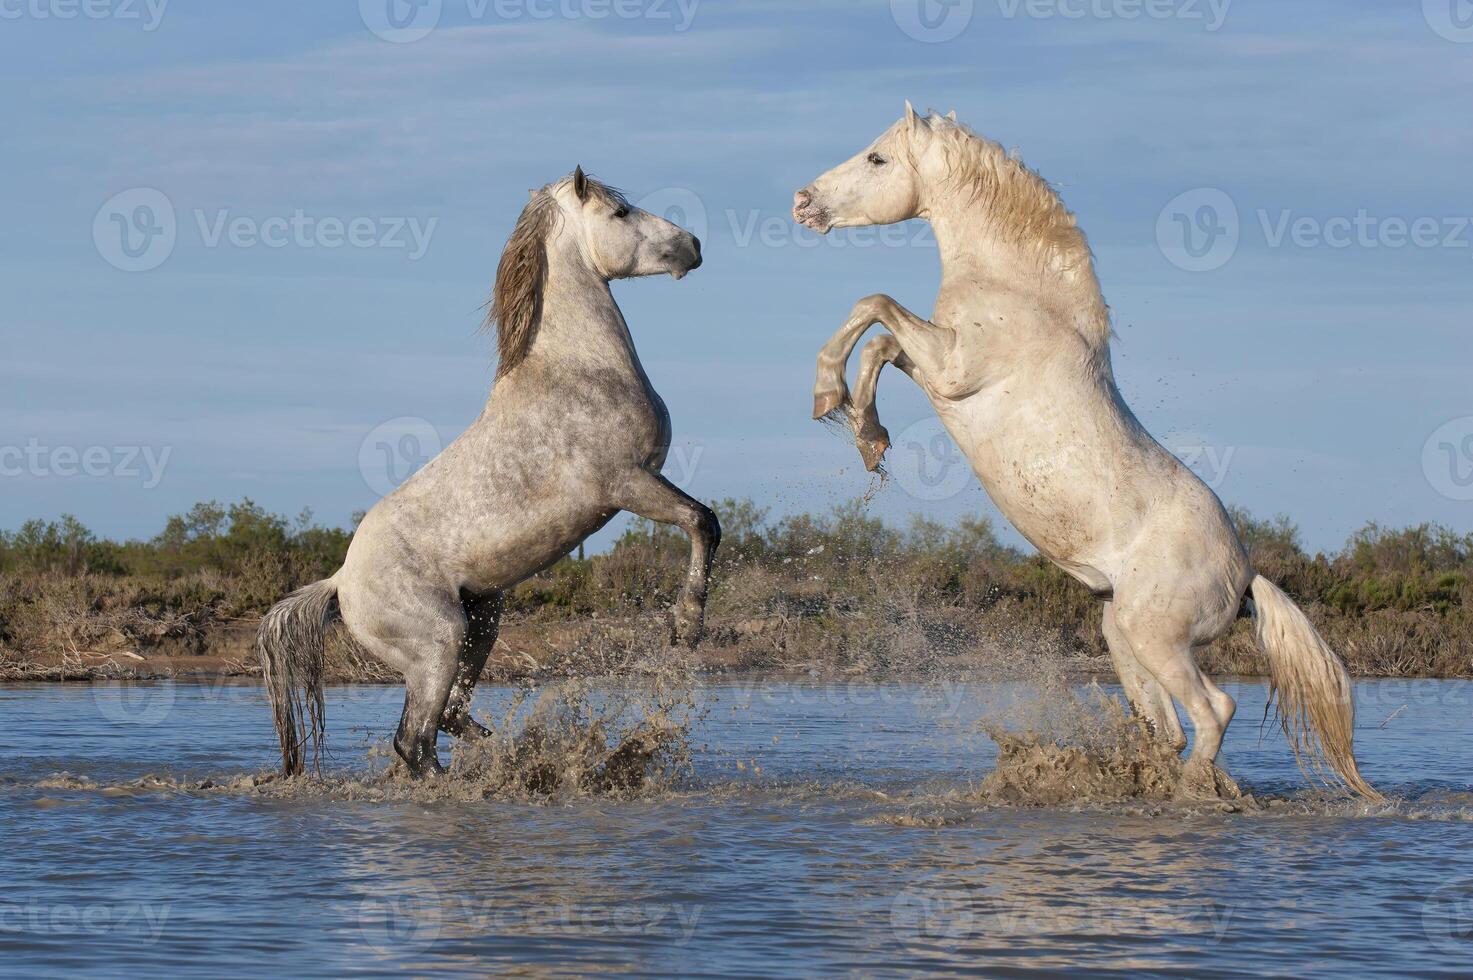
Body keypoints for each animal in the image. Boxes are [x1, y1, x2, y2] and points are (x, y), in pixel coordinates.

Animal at [260, 170, 718, 778]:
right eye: (620, 212)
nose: (692, 245)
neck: (579, 369)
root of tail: (340, 582)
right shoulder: (628, 483)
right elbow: (703, 521)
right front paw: (685, 627)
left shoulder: (640, 482)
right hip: (438, 643)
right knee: (415, 740)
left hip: (483, 621)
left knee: (449, 720)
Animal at [795, 105, 1378, 795]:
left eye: (877, 158)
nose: (803, 202)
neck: (1023, 294)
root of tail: (1244, 578)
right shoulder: (935, 365)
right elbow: (882, 341)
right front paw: (866, 433)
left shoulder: (953, 368)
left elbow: (875, 307)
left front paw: (830, 397)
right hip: (1121, 634)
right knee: (1168, 729)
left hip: (1157, 639)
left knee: (1213, 711)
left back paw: (1190, 794)